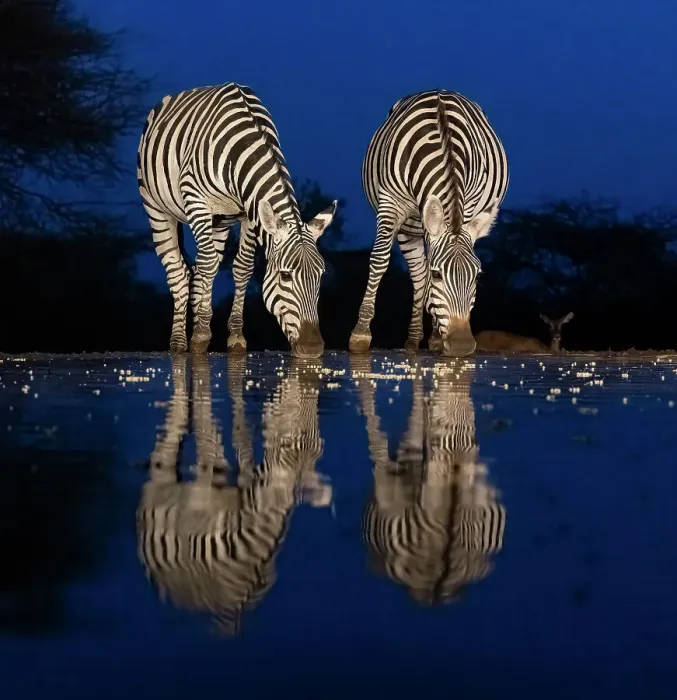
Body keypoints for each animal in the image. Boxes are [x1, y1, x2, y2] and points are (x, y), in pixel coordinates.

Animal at [137, 82, 337, 357]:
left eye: (321, 275)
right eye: (285, 276)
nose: (313, 348)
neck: (245, 148)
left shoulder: (249, 212)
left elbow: (242, 268)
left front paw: (234, 337)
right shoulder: (196, 198)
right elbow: (209, 264)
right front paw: (201, 335)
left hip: (219, 220)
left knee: (201, 266)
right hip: (156, 207)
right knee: (181, 270)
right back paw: (179, 342)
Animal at [350, 89, 509, 357]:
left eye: (477, 276)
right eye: (438, 275)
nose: (462, 345)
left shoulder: (468, 205)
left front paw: (437, 334)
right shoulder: (390, 203)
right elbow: (380, 260)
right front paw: (360, 333)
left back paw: (431, 337)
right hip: (410, 226)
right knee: (418, 273)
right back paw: (414, 338)